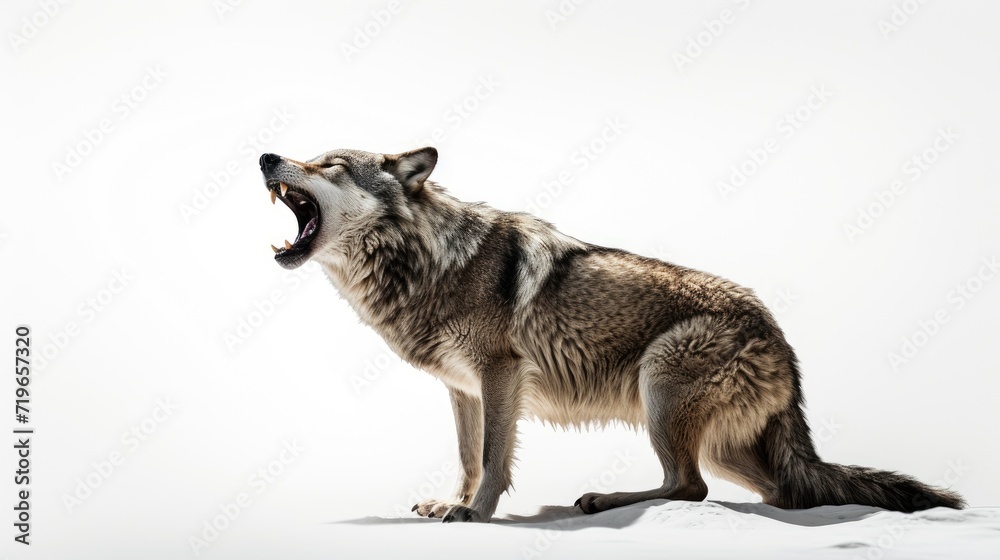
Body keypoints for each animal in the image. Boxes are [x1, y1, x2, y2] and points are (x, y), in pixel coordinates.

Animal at [258, 147, 964, 522]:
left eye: (330, 163)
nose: (267, 156)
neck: (427, 261)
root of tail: (782, 340)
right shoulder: (462, 389)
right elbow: (466, 455)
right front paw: (449, 502)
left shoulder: (500, 373)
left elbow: (492, 458)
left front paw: (476, 514)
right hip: (721, 444)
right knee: (777, 491)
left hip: (660, 388)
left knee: (689, 486)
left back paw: (603, 499)